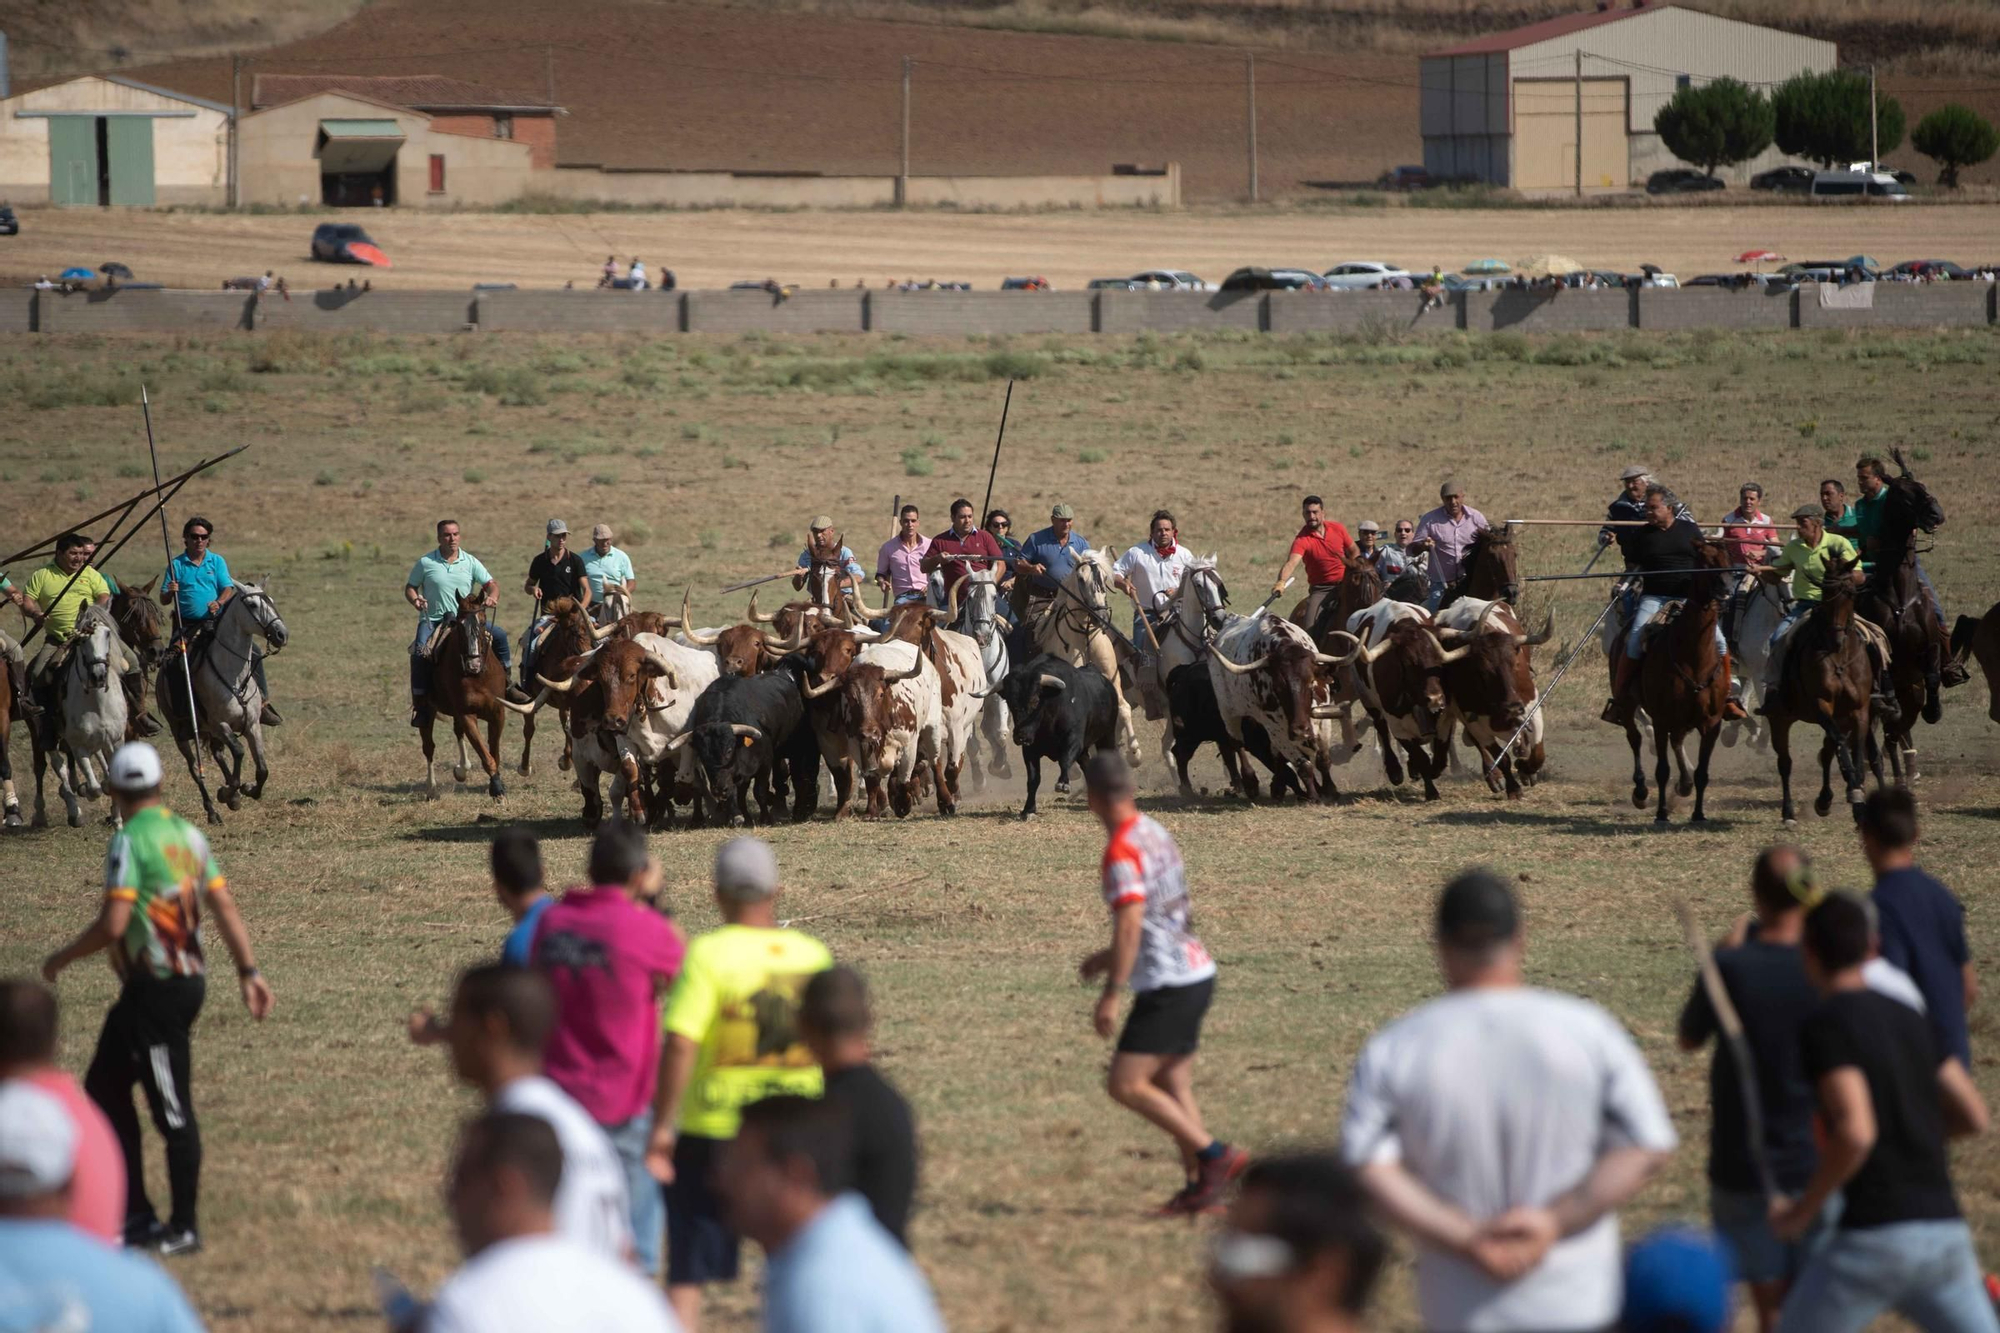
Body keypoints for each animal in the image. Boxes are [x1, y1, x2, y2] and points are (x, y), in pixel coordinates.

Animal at [158, 572, 288, 820]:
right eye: (252, 604)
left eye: (272, 601)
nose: (281, 634)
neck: (235, 677)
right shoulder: (219, 724)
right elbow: (238, 751)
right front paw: (230, 791)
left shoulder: (252, 725)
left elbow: (262, 769)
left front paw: (246, 789)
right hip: (180, 732)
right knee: (195, 769)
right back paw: (212, 810)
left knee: (218, 754)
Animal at [418, 600, 540, 800]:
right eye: (460, 625)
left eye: (483, 623)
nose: (473, 664)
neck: (478, 677)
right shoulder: (467, 715)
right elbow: (485, 754)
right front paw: (497, 789)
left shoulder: (497, 713)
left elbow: (494, 753)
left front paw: (496, 784)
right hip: (428, 711)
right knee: (428, 746)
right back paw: (432, 787)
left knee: (457, 731)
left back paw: (462, 769)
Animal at [1624, 536, 1736, 820]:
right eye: (1705, 560)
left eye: (1728, 560)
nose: (1726, 588)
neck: (1694, 657)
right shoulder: (1661, 719)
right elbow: (1662, 770)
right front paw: (1661, 813)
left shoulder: (1711, 723)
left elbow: (1702, 773)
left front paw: (1698, 814)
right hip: (1629, 705)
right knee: (1634, 737)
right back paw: (1641, 791)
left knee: (1677, 741)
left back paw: (1684, 784)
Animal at [1776, 548, 1880, 820]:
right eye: (1825, 592)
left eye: (1850, 593)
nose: (1836, 638)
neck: (1840, 658)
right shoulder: (1822, 705)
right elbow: (1841, 745)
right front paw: (1853, 792)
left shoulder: (1860, 710)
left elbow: (1855, 751)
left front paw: (1857, 796)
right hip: (1782, 718)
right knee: (1786, 762)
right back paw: (1791, 811)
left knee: (1826, 751)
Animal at [1848, 448, 1944, 780]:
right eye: (1903, 493)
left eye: (1923, 486)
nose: (1936, 514)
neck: (1900, 597)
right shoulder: (1881, 649)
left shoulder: (1929, 649)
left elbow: (1932, 676)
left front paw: (1934, 710)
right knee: (1885, 732)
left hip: (1911, 693)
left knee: (1895, 732)